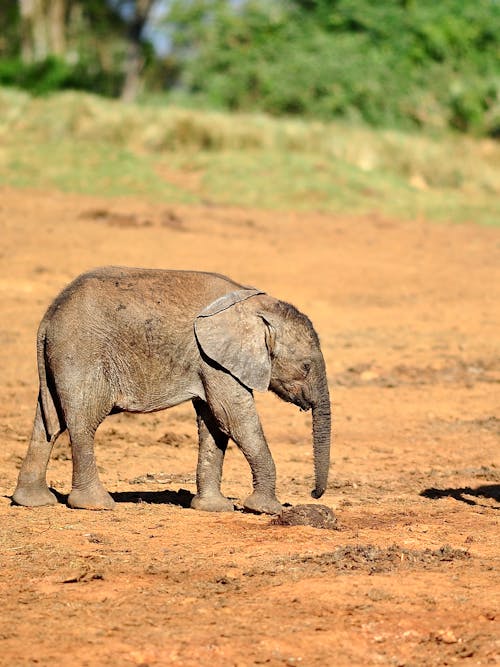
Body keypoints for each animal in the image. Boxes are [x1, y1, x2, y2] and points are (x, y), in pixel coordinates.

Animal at [12, 268, 332, 516]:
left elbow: (214, 423)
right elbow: (235, 419)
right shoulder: (215, 360)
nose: (313, 494)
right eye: (305, 366)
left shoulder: (209, 361)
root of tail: (48, 317)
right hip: (81, 352)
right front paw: (265, 510)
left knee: (48, 423)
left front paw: (214, 509)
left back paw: (33, 502)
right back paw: (95, 505)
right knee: (83, 421)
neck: (257, 306)